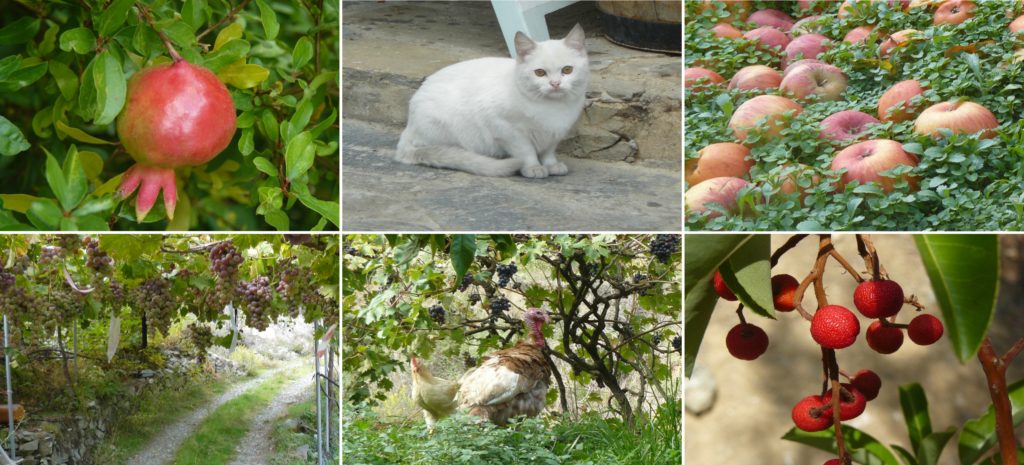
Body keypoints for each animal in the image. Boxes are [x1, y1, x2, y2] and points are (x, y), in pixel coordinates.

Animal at [395, 24, 589, 179]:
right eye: (540, 73)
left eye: (567, 70)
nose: (555, 84)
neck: (554, 108)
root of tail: (408, 129)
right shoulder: (506, 130)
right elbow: (526, 151)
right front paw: (533, 167)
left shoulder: (555, 134)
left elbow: (548, 151)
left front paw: (551, 164)